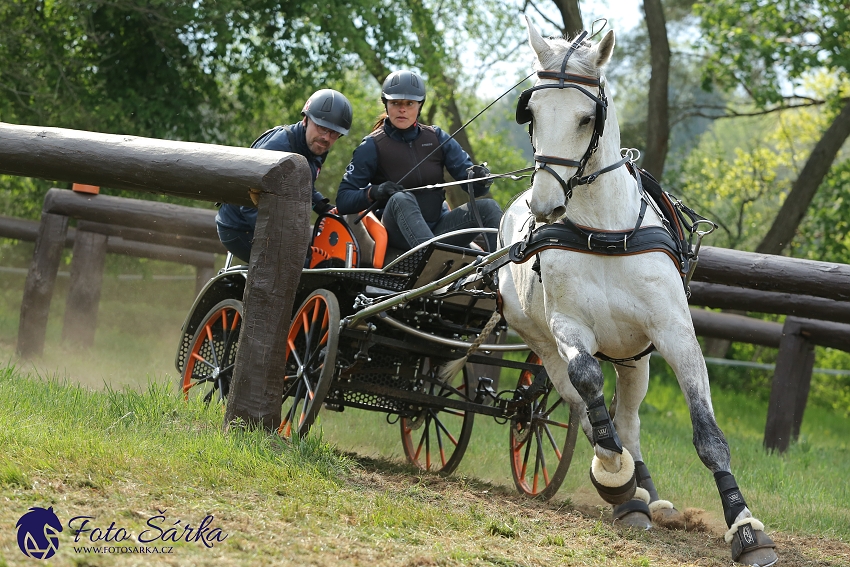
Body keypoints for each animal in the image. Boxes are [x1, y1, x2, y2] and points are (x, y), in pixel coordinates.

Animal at [494, 18, 780, 567]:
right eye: (532, 113)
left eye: (587, 117)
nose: (545, 205)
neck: (602, 231)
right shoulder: (569, 329)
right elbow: (589, 387)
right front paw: (614, 476)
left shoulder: (673, 333)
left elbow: (707, 435)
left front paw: (745, 527)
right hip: (541, 342)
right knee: (585, 408)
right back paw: (626, 491)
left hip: (634, 356)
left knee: (628, 419)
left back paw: (647, 494)